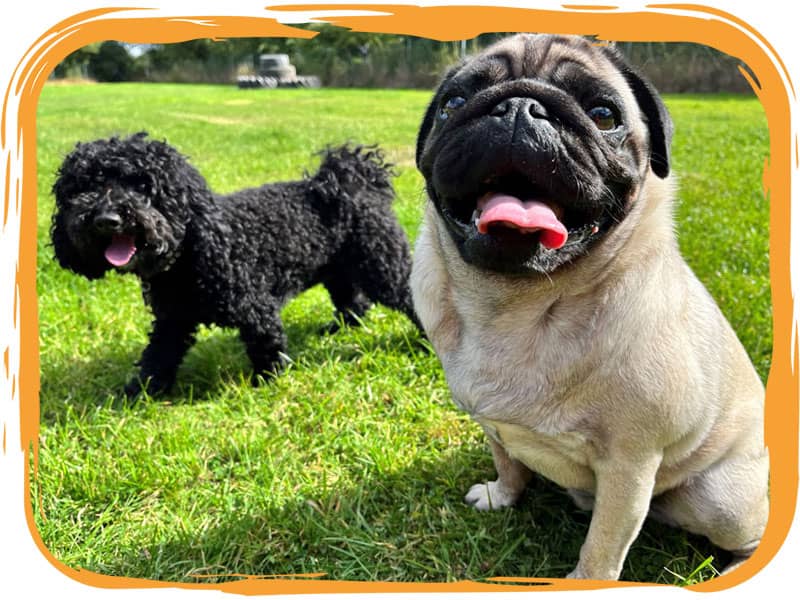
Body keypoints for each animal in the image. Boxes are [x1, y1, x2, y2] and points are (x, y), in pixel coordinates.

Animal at [51, 134, 418, 400]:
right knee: (353, 301)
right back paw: (341, 328)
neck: (190, 255)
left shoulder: (256, 308)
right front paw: (141, 391)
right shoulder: (172, 319)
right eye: (84, 187)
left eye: (143, 187)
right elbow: (158, 355)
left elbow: (267, 346)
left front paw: (268, 382)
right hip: (340, 270)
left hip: (382, 263)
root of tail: (350, 183)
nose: (106, 219)